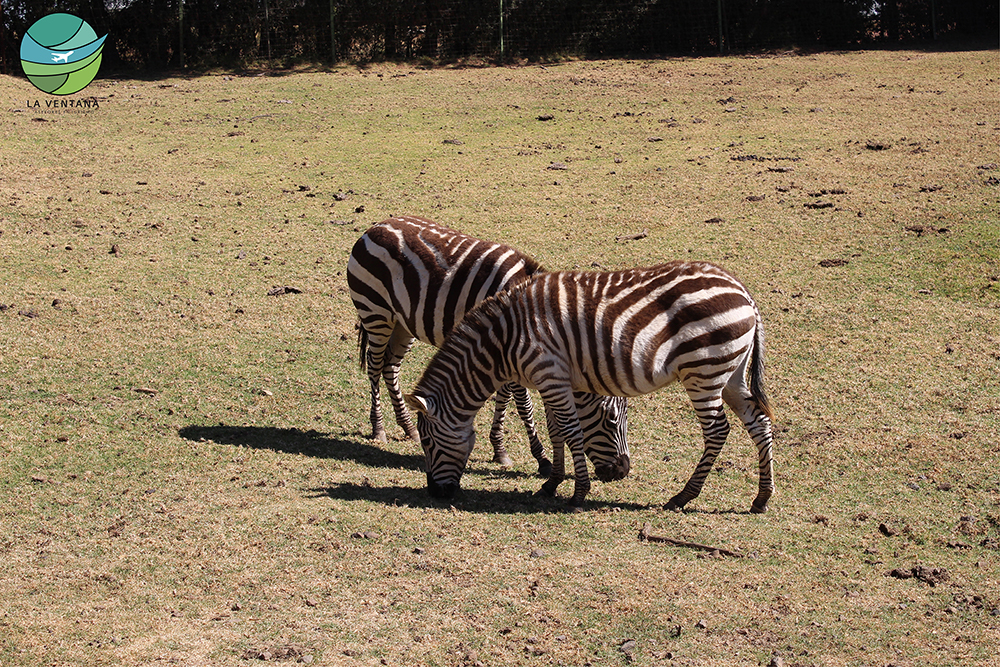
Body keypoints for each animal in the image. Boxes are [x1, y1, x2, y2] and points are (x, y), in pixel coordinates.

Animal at [348, 217, 628, 482]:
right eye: (610, 419)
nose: (622, 471)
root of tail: (376, 226)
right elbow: (523, 405)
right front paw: (541, 457)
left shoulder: (503, 352)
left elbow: (503, 398)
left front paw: (499, 449)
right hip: (375, 312)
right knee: (374, 367)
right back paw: (379, 428)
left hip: (403, 323)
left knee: (390, 367)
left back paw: (407, 426)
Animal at [402, 260, 776, 512]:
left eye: (427, 442)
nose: (435, 493)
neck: (504, 340)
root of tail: (743, 291)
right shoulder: (552, 379)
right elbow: (557, 430)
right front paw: (552, 481)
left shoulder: (549, 373)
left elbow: (571, 431)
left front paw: (579, 492)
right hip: (730, 372)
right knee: (759, 422)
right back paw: (761, 497)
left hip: (704, 371)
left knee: (718, 431)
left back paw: (683, 496)